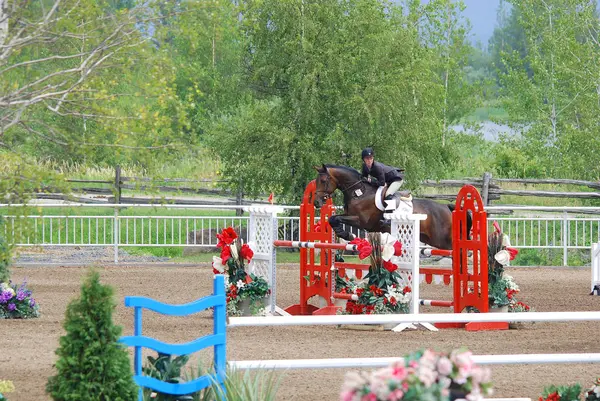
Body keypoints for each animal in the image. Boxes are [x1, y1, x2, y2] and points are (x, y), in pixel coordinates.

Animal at [314, 164, 468, 248]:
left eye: (323, 181)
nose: (316, 202)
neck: (359, 192)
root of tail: (446, 208)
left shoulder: (361, 221)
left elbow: (337, 219)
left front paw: (348, 235)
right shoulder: (349, 215)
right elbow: (333, 219)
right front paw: (346, 234)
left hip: (441, 240)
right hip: (429, 238)